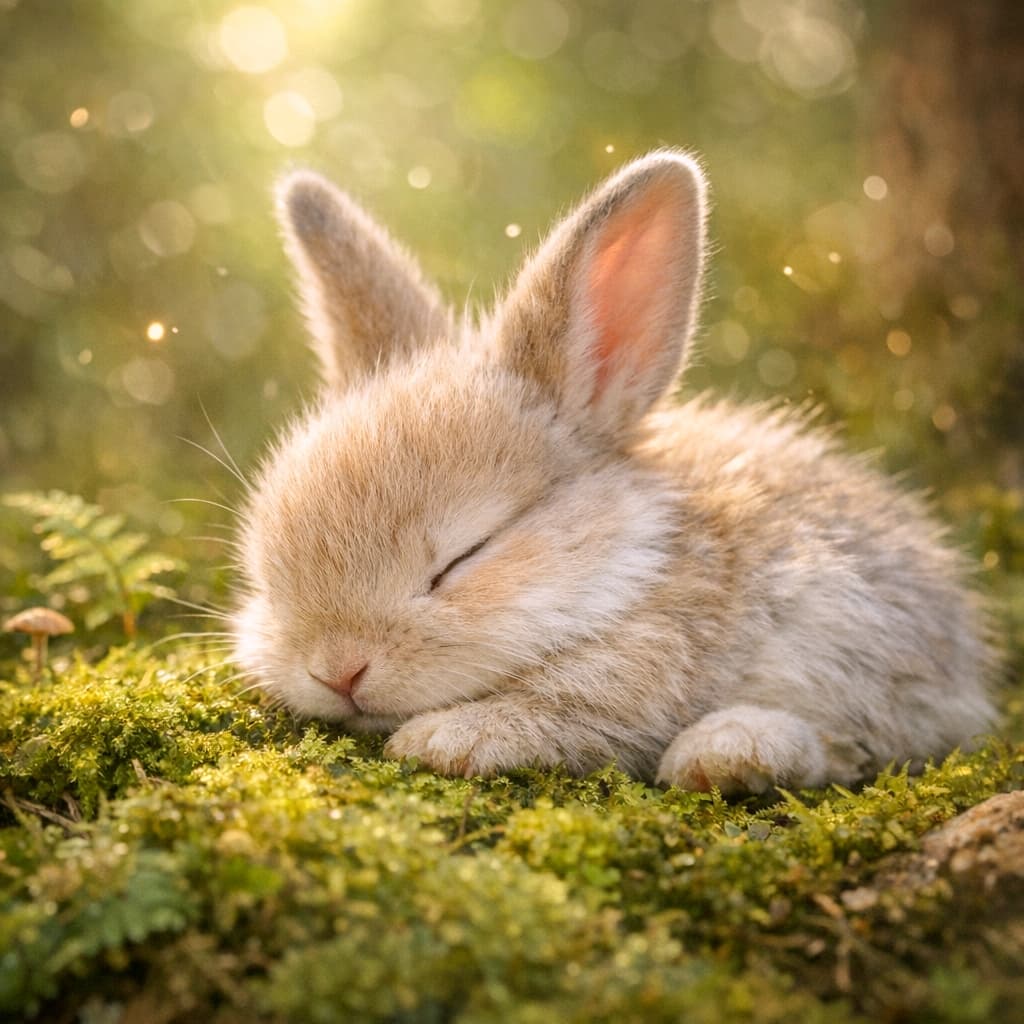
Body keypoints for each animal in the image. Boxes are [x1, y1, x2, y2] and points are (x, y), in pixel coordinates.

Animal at [232, 150, 997, 794]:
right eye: (267, 576)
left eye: (465, 555)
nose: (337, 670)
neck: (626, 567)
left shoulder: (645, 670)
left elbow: (561, 712)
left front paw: (442, 740)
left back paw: (727, 752)